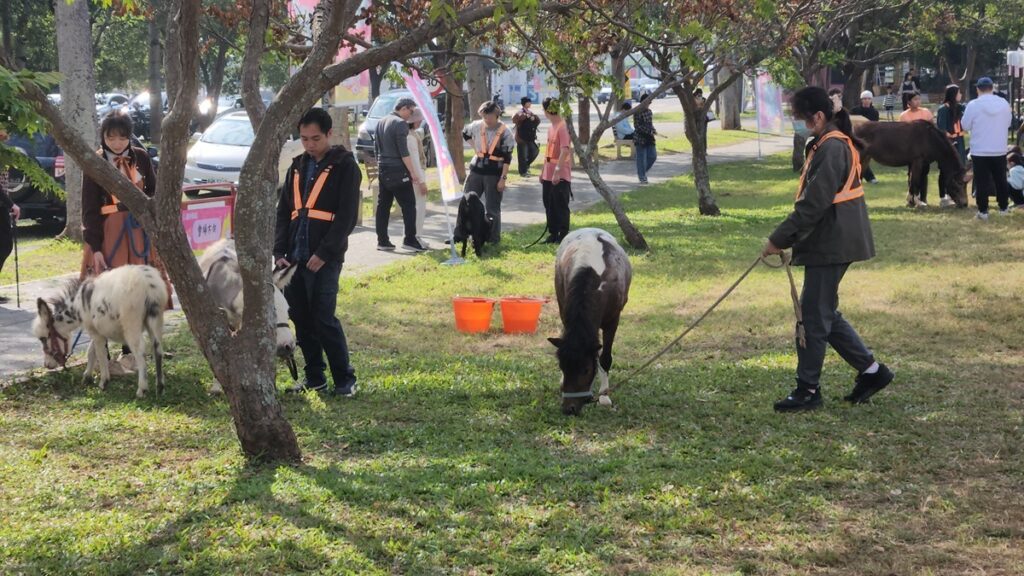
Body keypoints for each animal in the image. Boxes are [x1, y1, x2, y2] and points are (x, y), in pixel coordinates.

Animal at [32, 265, 168, 398]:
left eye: (44, 338)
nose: (47, 365)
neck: (78, 305)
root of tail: (148, 284)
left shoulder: (95, 333)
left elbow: (100, 354)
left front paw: (103, 382)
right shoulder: (97, 331)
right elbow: (91, 352)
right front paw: (87, 377)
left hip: (131, 324)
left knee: (139, 351)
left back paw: (142, 389)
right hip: (156, 319)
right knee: (158, 349)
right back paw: (160, 387)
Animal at [548, 228, 632, 416]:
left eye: (585, 370)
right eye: (562, 367)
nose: (569, 409)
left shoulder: (613, 320)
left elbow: (605, 358)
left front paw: (604, 397)